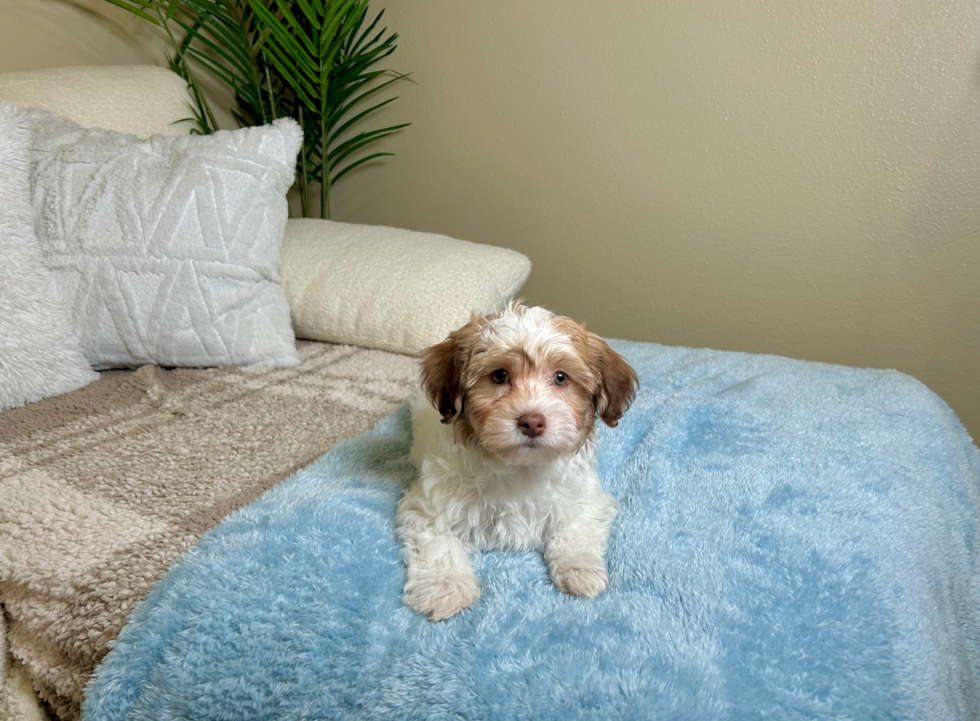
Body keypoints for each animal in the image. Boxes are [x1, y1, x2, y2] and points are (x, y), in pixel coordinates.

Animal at [394, 300, 640, 620]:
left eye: (561, 377)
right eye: (499, 376)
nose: (532, 422)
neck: (521, 467)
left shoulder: (585, 497)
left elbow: (574, 527)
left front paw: (579, 570)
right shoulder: (427, 506)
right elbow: (438, 543)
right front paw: (445, 588)